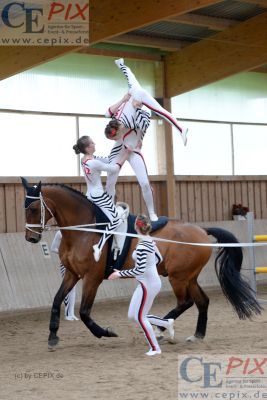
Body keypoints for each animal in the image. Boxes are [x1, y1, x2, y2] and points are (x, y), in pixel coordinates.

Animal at [21, 179, 262, 350]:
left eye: (32, 208)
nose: (30, 238)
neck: (86, 230)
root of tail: (201, 230)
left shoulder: (92, 278)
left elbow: (85, 312)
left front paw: (105, 332)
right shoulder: (71, 274)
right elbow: (56, 301)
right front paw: (52, 336)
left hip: (178, 277)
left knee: (185, 302)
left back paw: (160, 329)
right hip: (189, 277)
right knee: (201, 301)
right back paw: (195, 335)